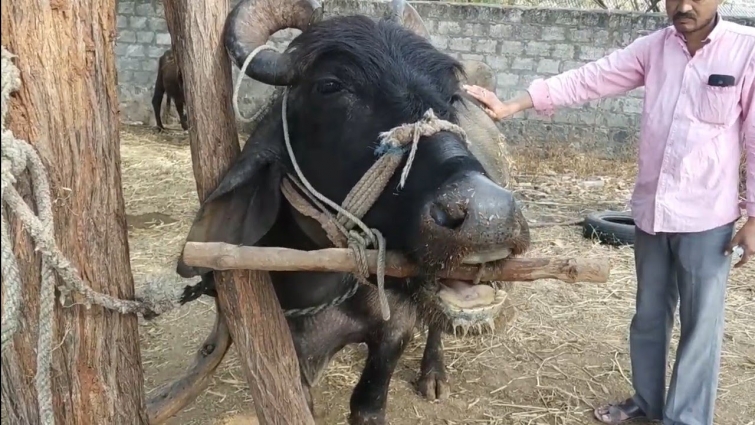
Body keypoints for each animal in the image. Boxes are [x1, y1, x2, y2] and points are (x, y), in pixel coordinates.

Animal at [175, 0, 530, 423]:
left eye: (452, 94)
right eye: (330, 86)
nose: (489, 214)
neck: (323, 282)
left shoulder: (395, 330)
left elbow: (367, 403)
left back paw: (433, 375)